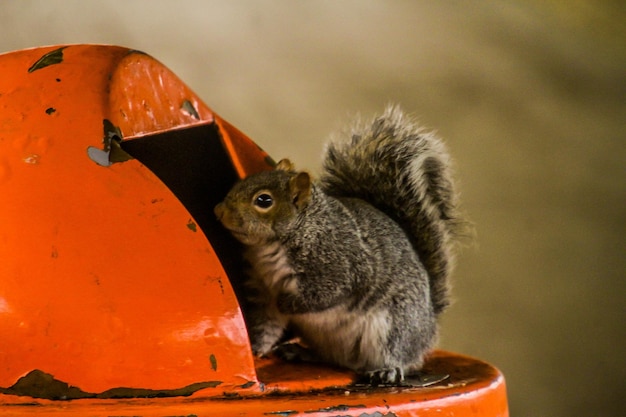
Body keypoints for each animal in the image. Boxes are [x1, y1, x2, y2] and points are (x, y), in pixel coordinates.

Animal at [214, 105, 464, 384]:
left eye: (264, 200)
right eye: (241, 182)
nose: (219, 211)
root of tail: (429, 322)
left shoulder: (338, 267)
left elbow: (326, 294)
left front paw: (288, 304)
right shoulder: (261, 288)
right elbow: (267, 326)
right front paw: (256, 350)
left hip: (395, 325)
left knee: (399, 355)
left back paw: (387, 369)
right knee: (335, 359)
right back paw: (302, 352)